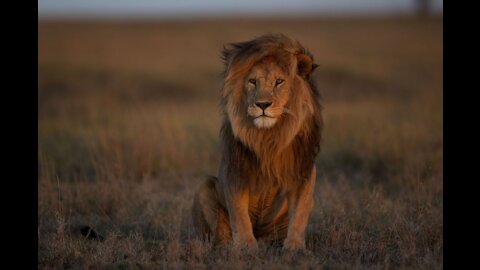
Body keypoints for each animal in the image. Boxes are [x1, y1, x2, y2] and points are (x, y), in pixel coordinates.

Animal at [192, 33, 322, 251]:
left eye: (279, 81)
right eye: (252, 81)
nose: (262, 104)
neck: (268, 137)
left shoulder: (303, 172)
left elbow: (300, 212)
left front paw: (294, 246)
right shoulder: (235, 171)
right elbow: (239, 214)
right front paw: (245, 245)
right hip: (204, 185)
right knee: (219, 232)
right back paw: (226, 246)